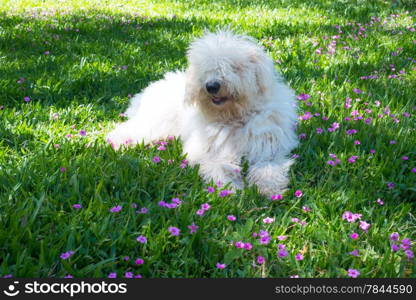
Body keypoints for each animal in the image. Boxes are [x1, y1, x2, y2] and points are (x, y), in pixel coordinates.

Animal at [105, 29, 298, 195]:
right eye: (206, 69)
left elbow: (268, 167)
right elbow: (217, 166)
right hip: (153, 124)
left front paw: (268, 188)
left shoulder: (268, 149)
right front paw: (230, 189)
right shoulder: (207, 151)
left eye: (234, 66)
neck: (233, 117)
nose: (212, 86)